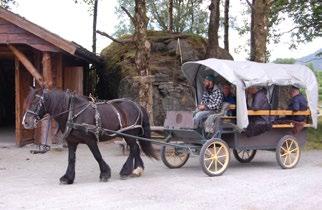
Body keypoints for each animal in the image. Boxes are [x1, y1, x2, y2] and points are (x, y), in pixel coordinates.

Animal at [22, 88, 158, 185]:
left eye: (35, 103)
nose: (25, 122)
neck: (73, 113)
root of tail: (137, 105)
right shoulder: (72, 141)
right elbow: (71, 159)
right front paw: (67, 178)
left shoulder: (90, 140)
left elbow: (97, 156)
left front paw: (105, 173)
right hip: (129, 134)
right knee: (136, 148)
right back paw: (138, 169)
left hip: (129, 133)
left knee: (133, 148)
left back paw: (126, 171)